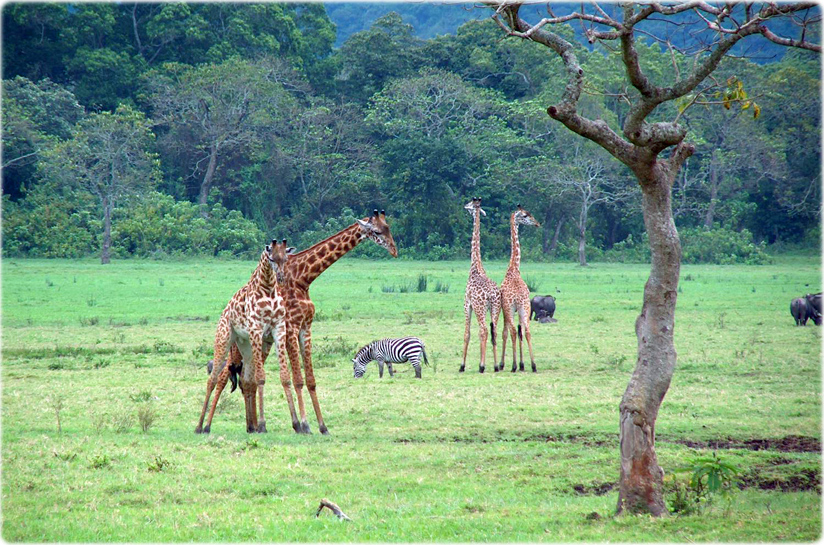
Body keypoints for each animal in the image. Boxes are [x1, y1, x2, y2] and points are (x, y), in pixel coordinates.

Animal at [195, 238, 294, 434]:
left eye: (286, 258)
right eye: (271, 258)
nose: (280, 278)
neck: (268, 290)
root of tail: (224, 313)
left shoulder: (278, 329)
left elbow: (284, 377)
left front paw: (301, 425)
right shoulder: (257, 329)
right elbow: (261, 377)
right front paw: (262, 425)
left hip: (245, 345)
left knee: (245, 379)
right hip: (224, 339)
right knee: (213, 379)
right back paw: (201, 426)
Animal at [222, 208, 396, 434]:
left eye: (388, 227)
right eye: (376, 231)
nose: (394, 250)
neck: (303, 278)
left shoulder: (306, 327)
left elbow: (310, 380)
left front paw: (322, 426)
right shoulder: (291, 328)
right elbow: (297, 380)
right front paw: (304, 425)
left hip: (262, 343)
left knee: (246, 379)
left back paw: (251, 425)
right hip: (242, 344)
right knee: (230, 377)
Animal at [498, 206, 544, 372]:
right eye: (525, 215)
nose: (537, 223)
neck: (514, 268)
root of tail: (517, 296)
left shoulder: (506, 309)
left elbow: (507, 333)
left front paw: (506, 363)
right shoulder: (516, 309)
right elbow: (520, 333)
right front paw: (523, 364)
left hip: (513, 308)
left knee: (512, 331)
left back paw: (513, 365)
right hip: (524, 307)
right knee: (527, 331)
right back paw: (533, 365)